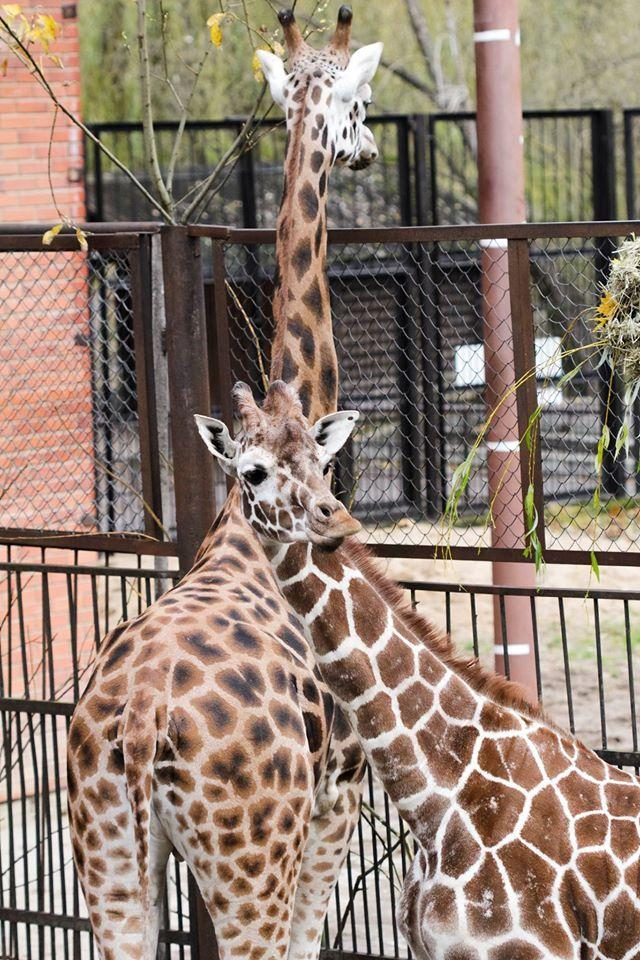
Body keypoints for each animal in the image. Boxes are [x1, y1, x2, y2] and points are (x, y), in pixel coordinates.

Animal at [67, 7, 382, 960]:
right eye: (362, 102)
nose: (368, 152)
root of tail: (136, 724)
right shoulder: (339, 787)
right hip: (252, 851)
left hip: (110, 856)